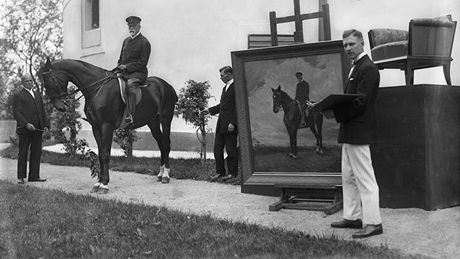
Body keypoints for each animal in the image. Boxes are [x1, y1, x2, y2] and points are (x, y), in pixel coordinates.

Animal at [40, 58, 178, 193]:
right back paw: (160, 174)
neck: (97, 88)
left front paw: (104, 184)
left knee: (166, 144)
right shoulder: (96, 128)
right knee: (161, 144)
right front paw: (98, 183)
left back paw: (166, 175)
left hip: (165, 118)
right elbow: (101, 153)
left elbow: (105, 154)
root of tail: (167, 86)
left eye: (51, 80)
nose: (60, 107)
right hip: (152, 122)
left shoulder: (107, 127)